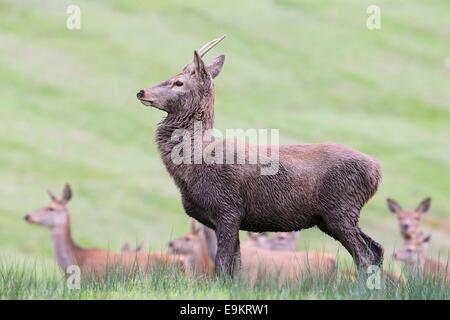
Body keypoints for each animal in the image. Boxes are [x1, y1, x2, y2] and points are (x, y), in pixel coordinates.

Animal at [136, 34, 384, 276]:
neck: (194, 162)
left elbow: (222, 265)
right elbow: (236, 267)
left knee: (364, 255)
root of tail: (377, 171)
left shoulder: (228, 208)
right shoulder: (231, 217)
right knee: (377, 250)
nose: (141, 91)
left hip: (341, 208)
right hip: (334, 216)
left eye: (178, 82)